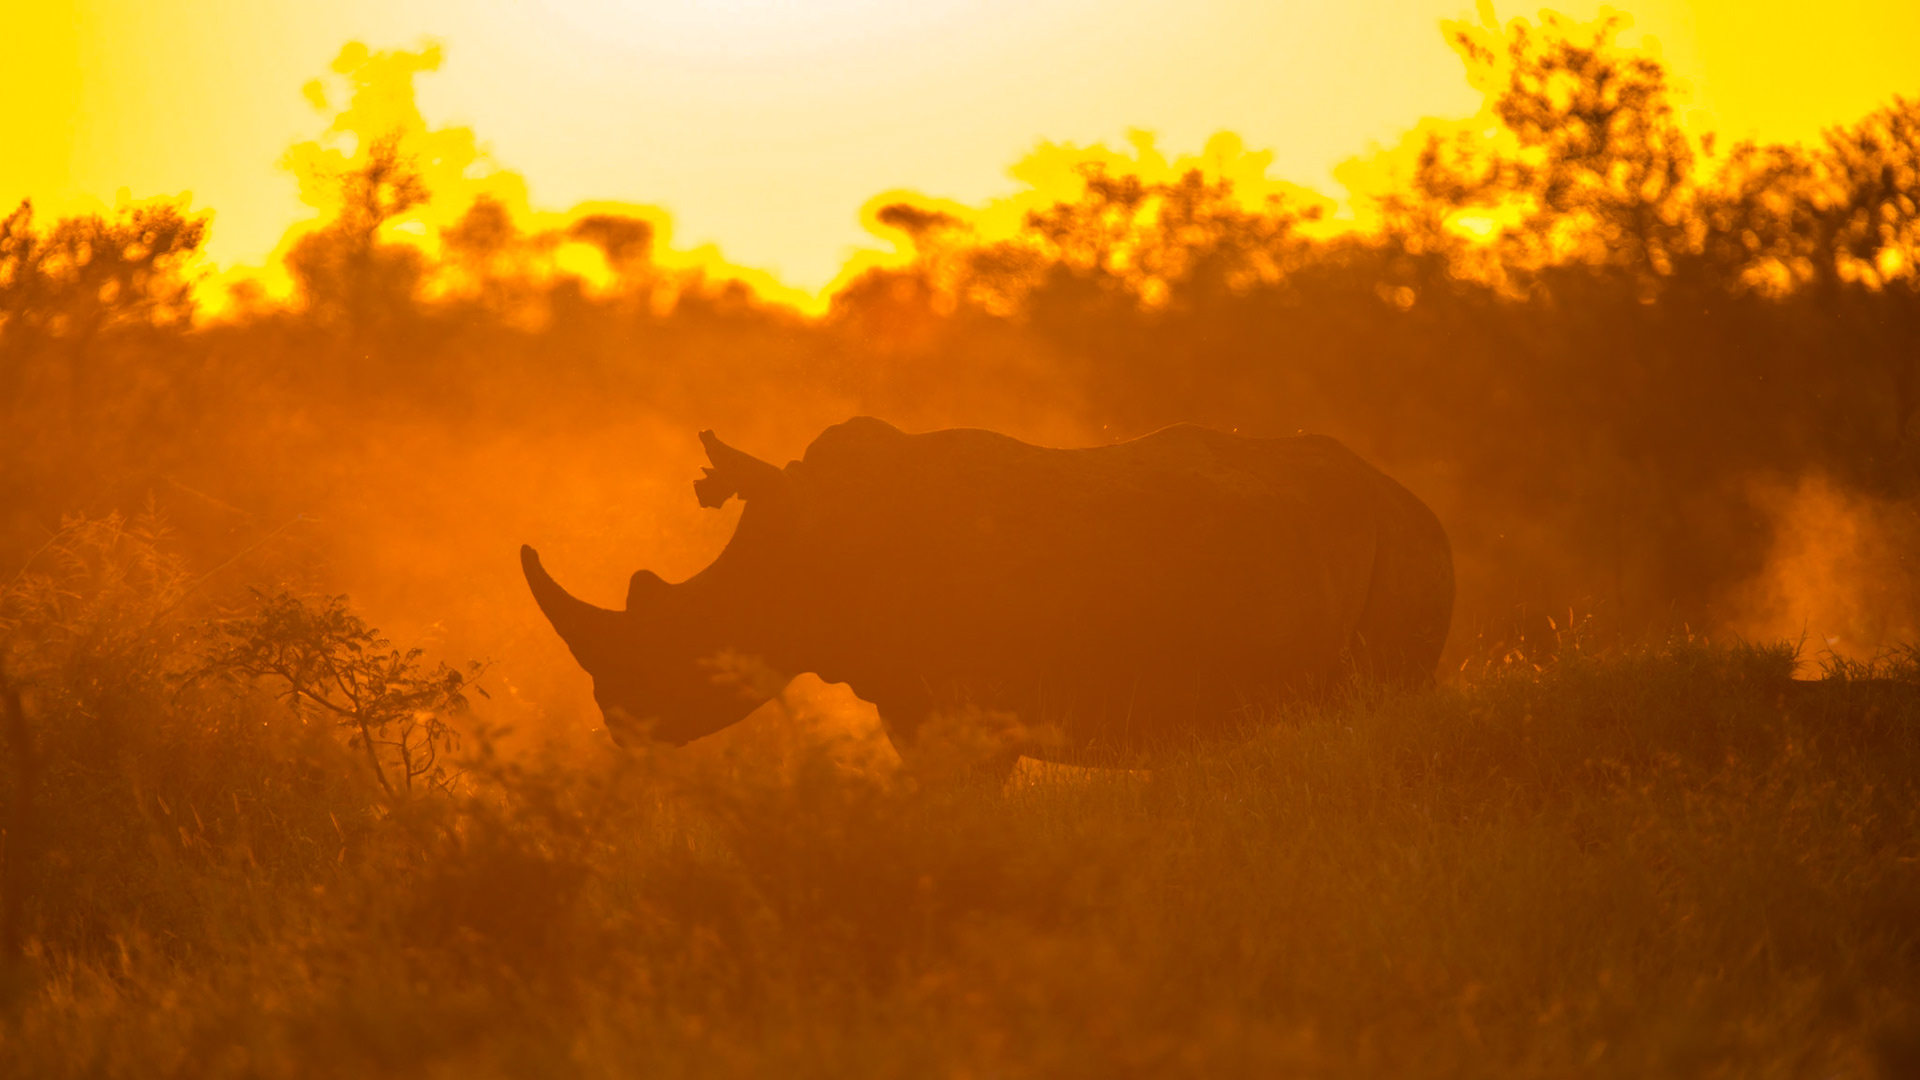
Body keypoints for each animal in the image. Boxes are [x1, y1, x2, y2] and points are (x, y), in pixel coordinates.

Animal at [522, 417, 1452, 775]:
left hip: (1400, 550)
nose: (620, 725)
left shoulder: (965, 708)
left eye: (682, 635)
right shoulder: (911, 700)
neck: (802, 553)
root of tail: (1413, 503)